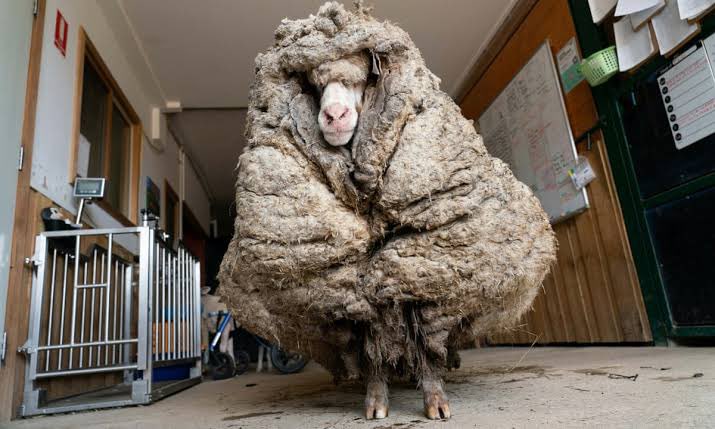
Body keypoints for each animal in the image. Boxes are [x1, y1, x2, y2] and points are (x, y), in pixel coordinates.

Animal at [219, 1, 556, 420]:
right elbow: (371, 340)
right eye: (313, 83)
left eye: (363, 78)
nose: (334, 116)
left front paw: (435, 399)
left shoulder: (416, 261)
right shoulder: (352, 279)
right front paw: (376, 401)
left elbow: (421, 331)